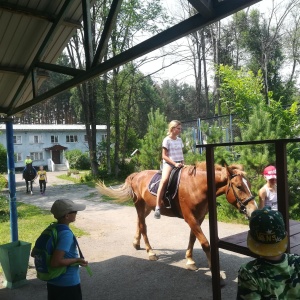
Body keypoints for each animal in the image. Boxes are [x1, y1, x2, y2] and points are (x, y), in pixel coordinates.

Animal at [96, 163, 258, 274]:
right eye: (239, 186)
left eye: (249, 185)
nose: (253, 210)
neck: (196, 186)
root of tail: (136, 175)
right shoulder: (190, 217)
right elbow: (205, 243)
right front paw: (212, 268)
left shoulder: (198, 217)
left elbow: (193, 238)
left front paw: (190, 260)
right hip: (139, 204)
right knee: (143, 226)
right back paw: (150, 252)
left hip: (147, 207)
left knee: (139, 222)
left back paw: (136, 243)